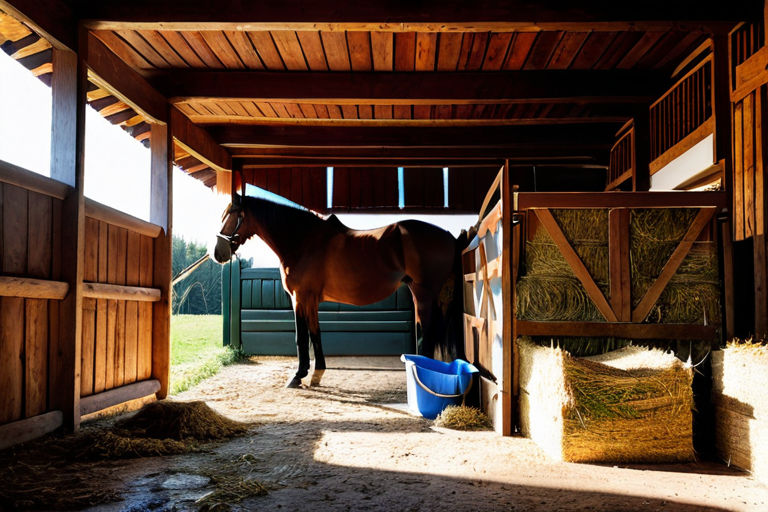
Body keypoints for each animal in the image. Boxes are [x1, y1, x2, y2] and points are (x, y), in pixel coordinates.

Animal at [214, 191, 467, 388]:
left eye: (231, 216)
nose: (218, 253)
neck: (303, 241)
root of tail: (448, 236)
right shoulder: (307, 300)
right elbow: (310, 334)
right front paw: (312, 374)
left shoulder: (301, 297)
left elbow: (304, 336)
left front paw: (301, 375)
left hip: (424, 295)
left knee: (428, 335)